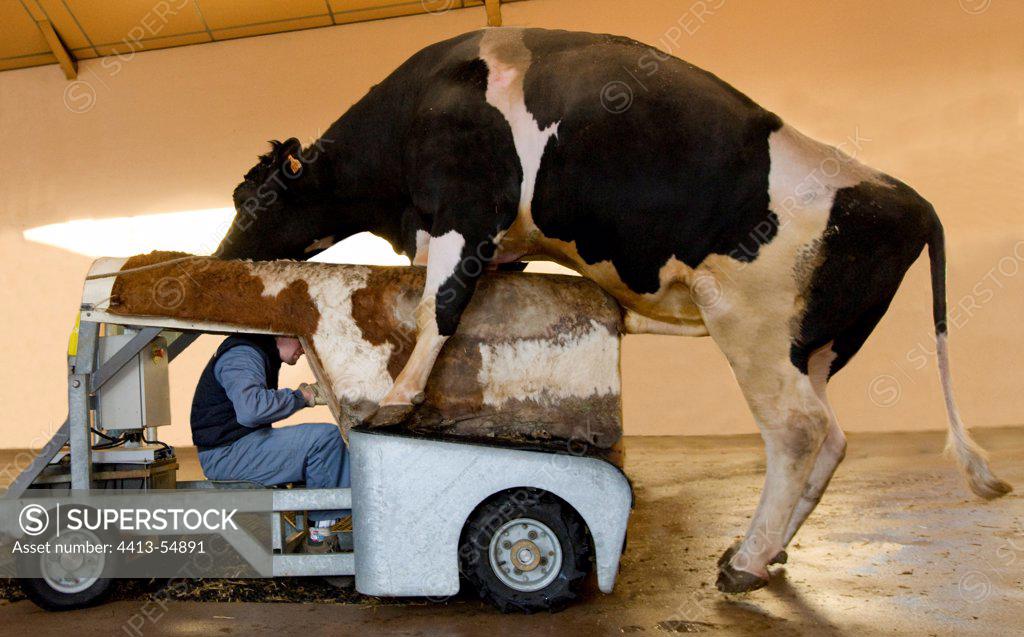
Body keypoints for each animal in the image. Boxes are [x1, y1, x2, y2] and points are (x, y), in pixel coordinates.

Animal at [215, 27, 1011, 593]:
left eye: (254, 198)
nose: (221, 256)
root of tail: (901, 193)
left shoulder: (465, 211)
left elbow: (440, 308)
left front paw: (396, 402)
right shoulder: (500, 244)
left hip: (753, 330)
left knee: (797, 430)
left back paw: (744, 565)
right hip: (813, 346)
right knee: (834, 437)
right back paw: (766, 551)